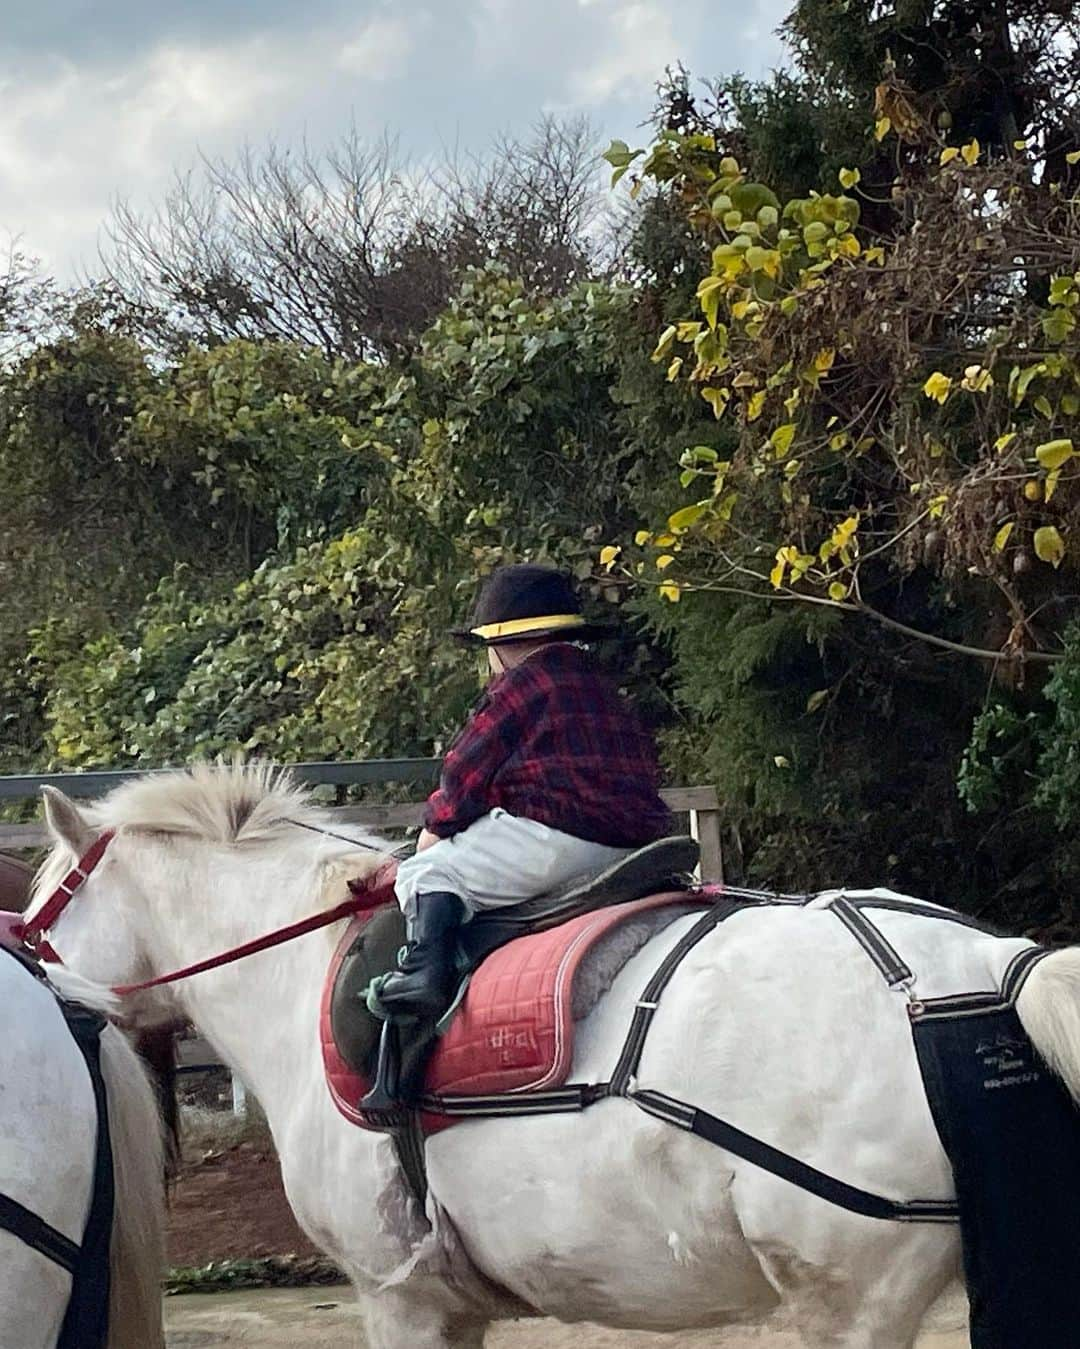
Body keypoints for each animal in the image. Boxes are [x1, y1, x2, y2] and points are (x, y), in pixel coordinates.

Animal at [25, 766, 1080, 1343]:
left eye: (40, 906)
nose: (26, 963)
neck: (304, 966)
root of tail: (980, 961)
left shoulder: (403, 1301)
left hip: (847, 1303)